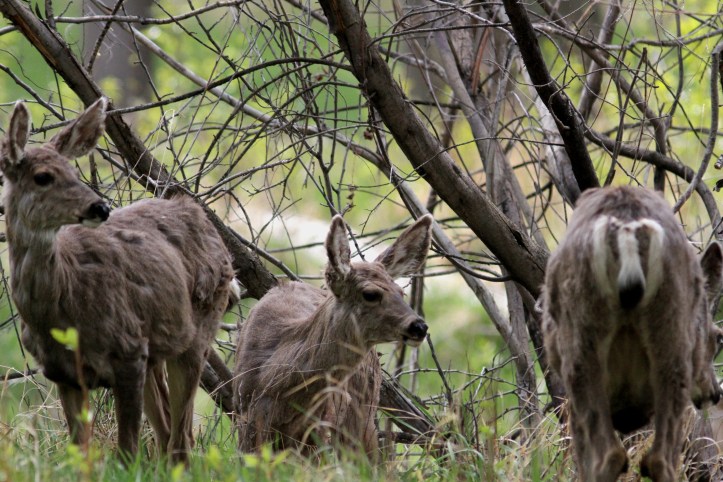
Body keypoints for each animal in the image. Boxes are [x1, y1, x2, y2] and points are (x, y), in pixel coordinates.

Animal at [0, 98, 238, 464]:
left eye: (75, 171)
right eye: (42, 177)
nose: (100, 207)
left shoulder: (128, 352)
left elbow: (127, 450)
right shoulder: (63, 373)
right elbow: (79, 452)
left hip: (196, 332)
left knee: (181, 438)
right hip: (156, 351)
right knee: (167, 431)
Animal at [234, 214, 432, 457]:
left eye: (402, 292)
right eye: (370, 294)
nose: (419, 327)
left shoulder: (318, 426)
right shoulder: (246, 420)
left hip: (362, 410)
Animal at [540, 186, 723, 482]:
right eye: (719, 337)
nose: (714, 393)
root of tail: (627, 228)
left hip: (580, 349)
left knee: (613, 457)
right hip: (667, 344)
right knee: (657, 459)